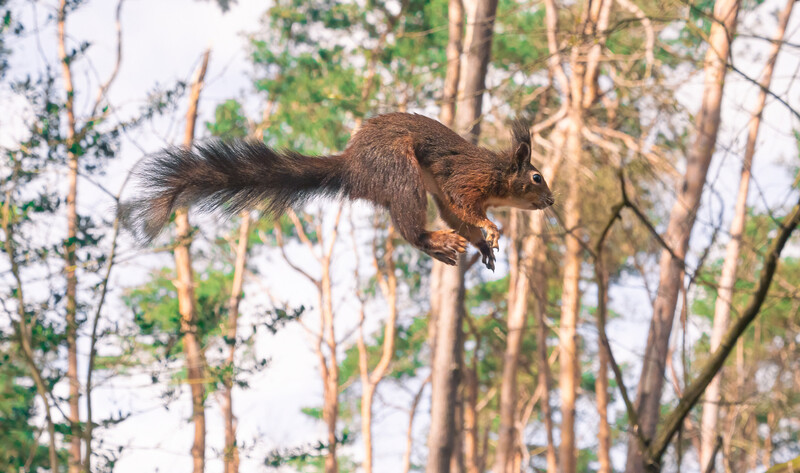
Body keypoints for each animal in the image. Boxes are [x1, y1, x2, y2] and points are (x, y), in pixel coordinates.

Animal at [121, 112, 554, 270]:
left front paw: (482, 244)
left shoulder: (448, 195)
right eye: (536, 178)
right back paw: (434, 241)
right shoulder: (466, 180)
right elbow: (465, 207)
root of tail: (352, 167)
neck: (499, 175)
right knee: (408, 224)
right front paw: (492, 228)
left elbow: (455, 213)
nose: (552, 201)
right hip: (398, 171)